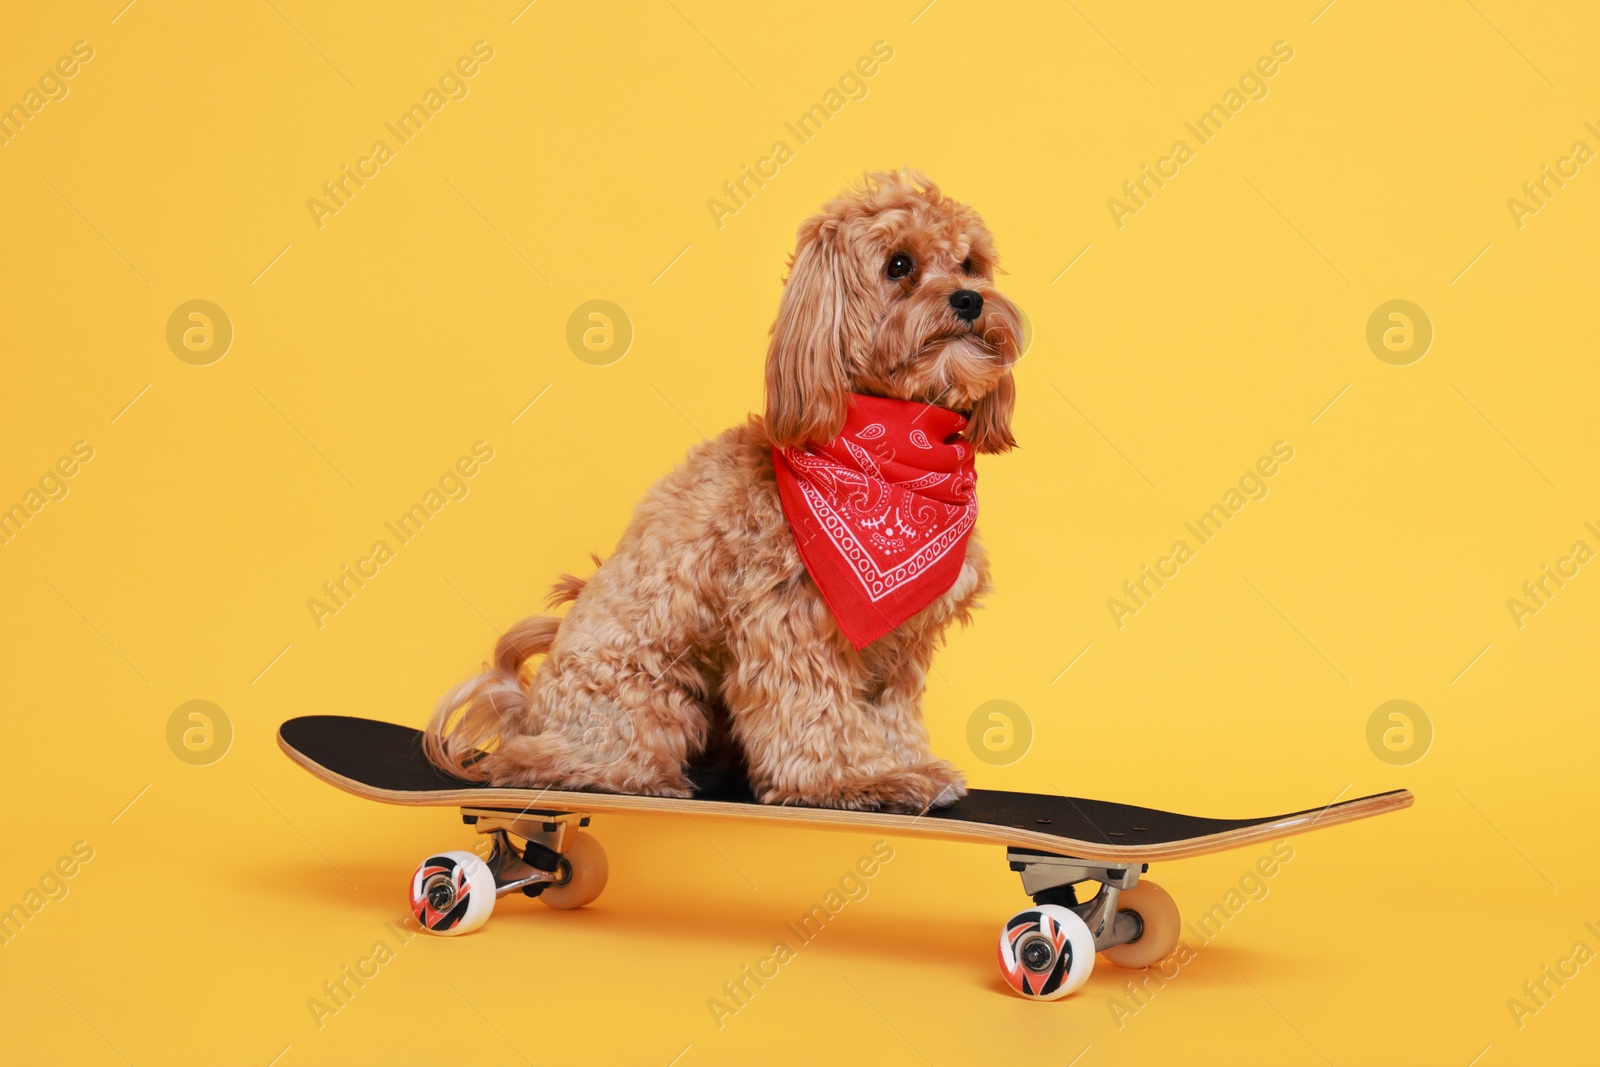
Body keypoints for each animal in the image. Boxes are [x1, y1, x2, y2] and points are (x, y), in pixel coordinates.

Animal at [425, 171, 1024, 812]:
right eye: (899, 264)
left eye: (970, 264)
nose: (969, 300)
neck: (891, 448)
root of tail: (530, 711)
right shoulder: (787, 620)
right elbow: (812, 712)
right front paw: (851, 781)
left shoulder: (900, 643)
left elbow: (892, 710)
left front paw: (907, 765)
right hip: (651, 695)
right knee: (533, 762)